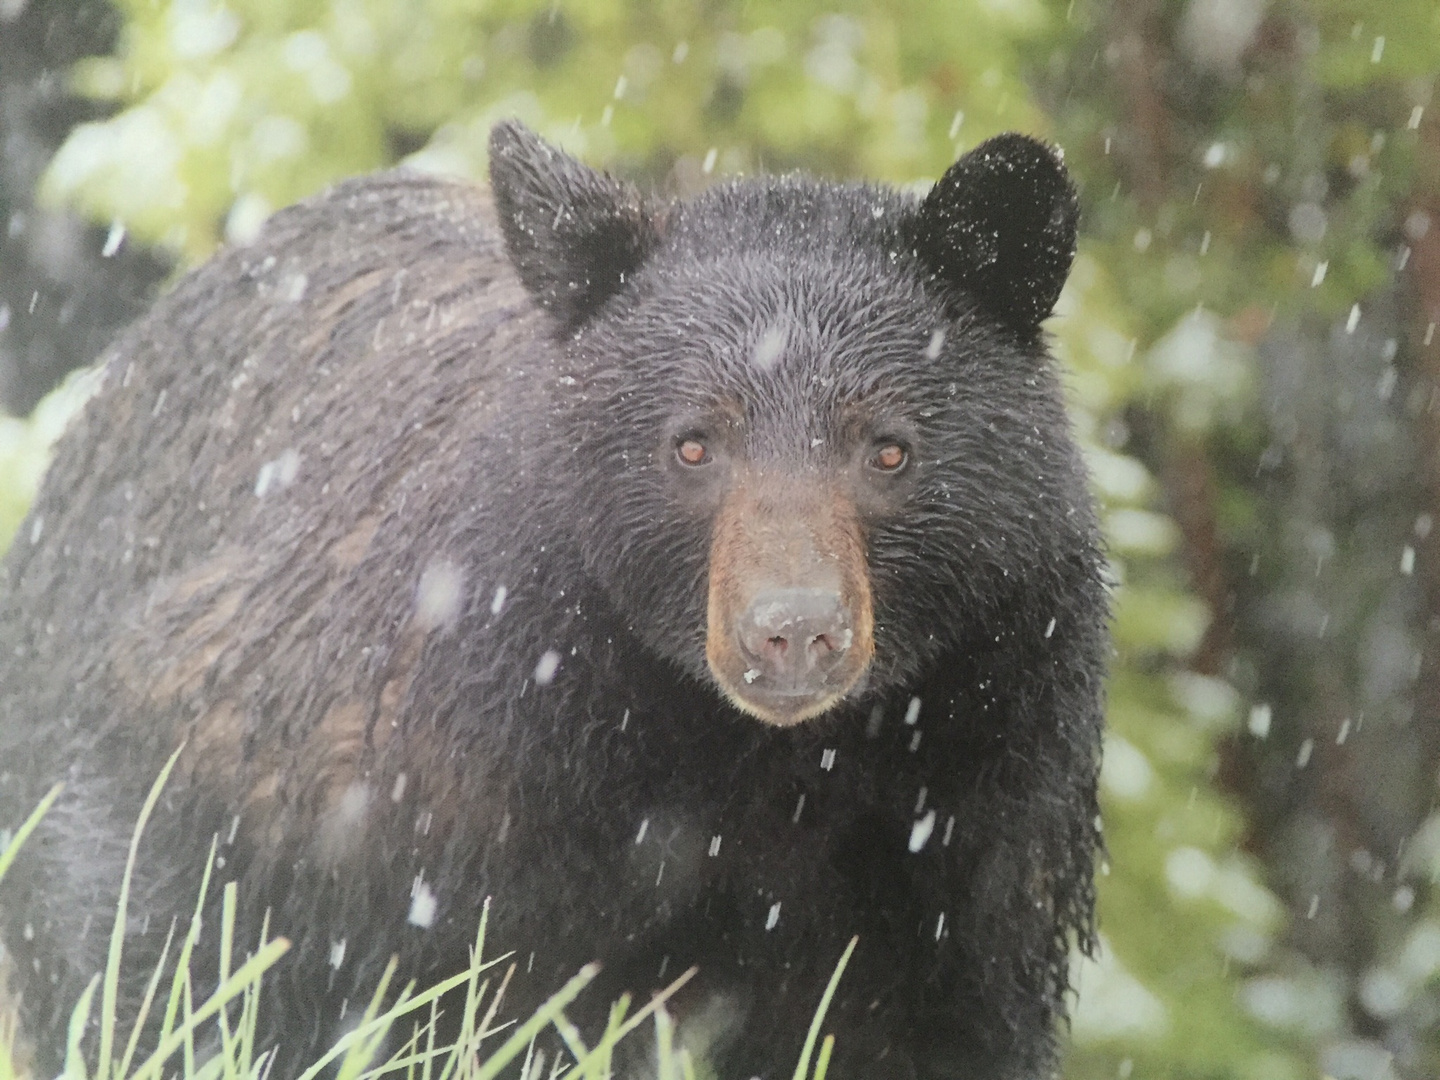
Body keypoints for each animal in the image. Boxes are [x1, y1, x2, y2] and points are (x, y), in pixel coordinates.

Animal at [0, 120, 1105, 1080]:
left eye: (889, 449)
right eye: (691, 442)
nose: (793, 632)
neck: (759, 771)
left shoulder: (976, 828)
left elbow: (926, 1026)